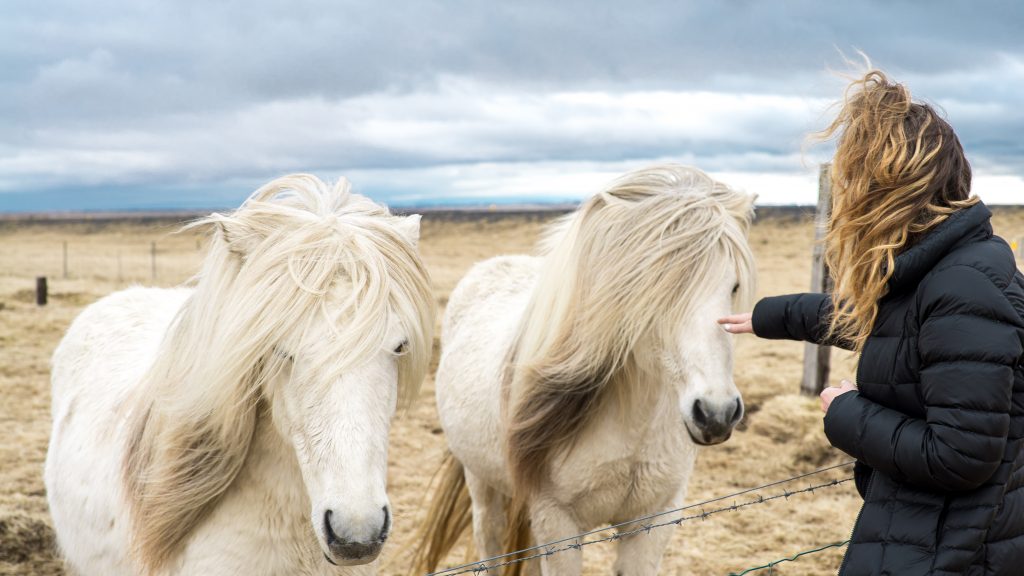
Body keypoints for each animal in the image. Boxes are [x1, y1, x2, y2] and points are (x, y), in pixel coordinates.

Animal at [411, 163, 757, 569]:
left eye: (734, 285)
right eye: (652, 290)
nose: (717, 413)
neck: (635, 423)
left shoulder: (653, 521)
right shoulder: (558, 523)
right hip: (482, 484)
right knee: (491, 542)